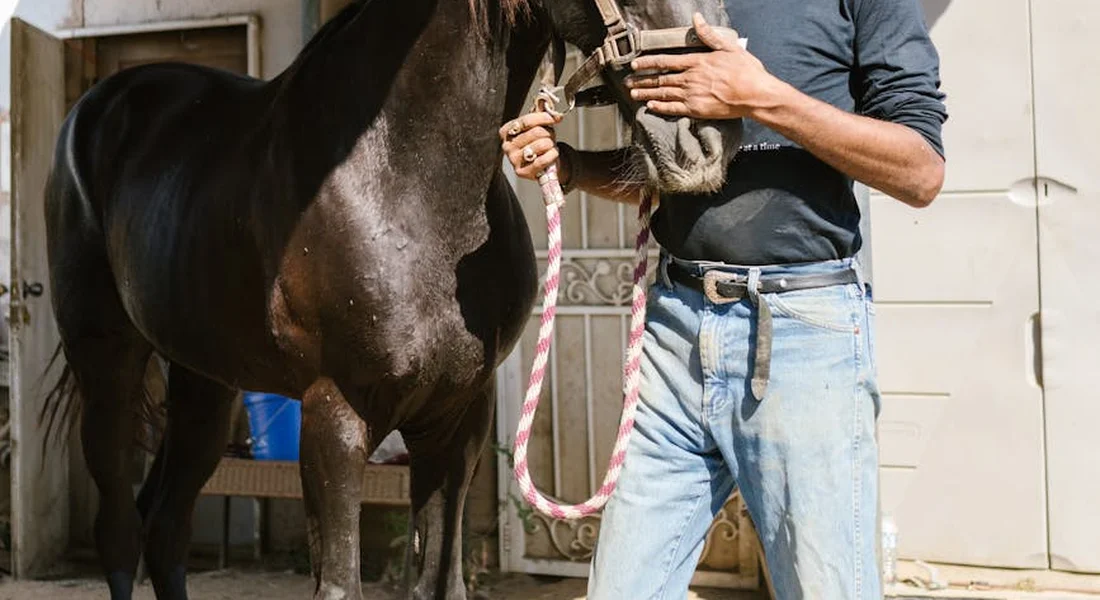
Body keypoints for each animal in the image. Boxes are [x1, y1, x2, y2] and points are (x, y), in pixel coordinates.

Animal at [41, 0, 740, 598]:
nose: (705, 141)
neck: (400, 179)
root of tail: (96, 109)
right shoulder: (336, 415)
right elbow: (338, 583)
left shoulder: (458, 419)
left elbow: (440, 583)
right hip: (107, 366)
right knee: (120, 530)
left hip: (205, 383)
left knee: (165, 525)